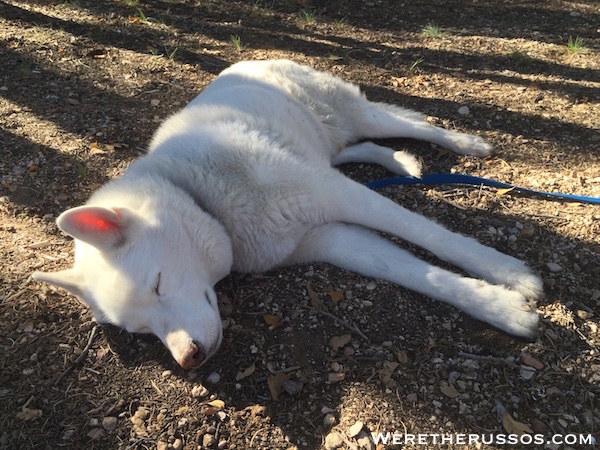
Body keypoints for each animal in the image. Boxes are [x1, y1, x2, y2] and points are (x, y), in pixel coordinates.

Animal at [31, 59, 544, 370]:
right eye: (141, 331)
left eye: (157, 284)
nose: (188, 359)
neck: (203, 197)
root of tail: (246, 61)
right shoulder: (331, 238)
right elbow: (416, 273)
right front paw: (499, 307)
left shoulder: (336, 195)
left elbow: (432, 238)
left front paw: (509, 275)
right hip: (328, 143)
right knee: (354, 149)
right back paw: (401, 163)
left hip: (351, 116)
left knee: (410, 124)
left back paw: (464, 143)